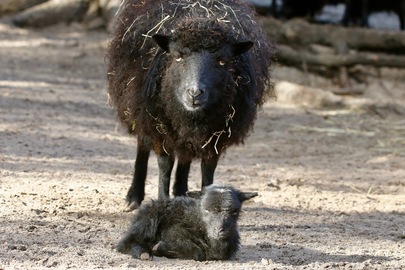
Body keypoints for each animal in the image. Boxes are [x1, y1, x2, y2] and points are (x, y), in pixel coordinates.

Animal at [105, 0, 274, 209]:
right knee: (143, 146)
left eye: (222, 61)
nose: (195, 92)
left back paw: (181, 192)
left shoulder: (217, 135)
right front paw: (163, 201)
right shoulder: (158, 125)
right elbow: (165, 164)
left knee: (185, 157)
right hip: (140, 111)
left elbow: (207, 169)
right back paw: (134, 196)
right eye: (177, 56)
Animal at [115, 182, 258, 260]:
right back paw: (143, 253)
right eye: (206, 209)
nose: (219, 230)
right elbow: (198, 253)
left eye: (234, 211)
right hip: (148, 218)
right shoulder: (175, 231)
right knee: (127, 242)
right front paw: (158, 248)